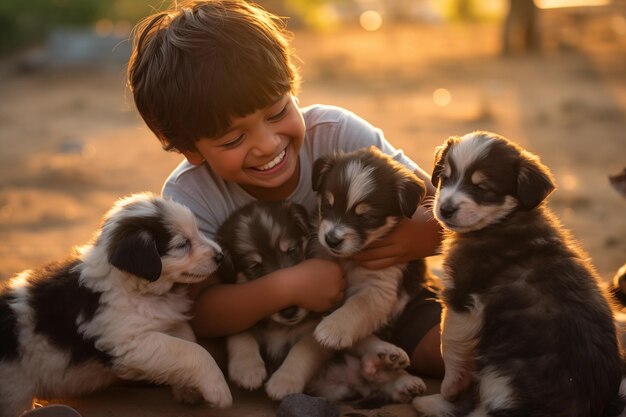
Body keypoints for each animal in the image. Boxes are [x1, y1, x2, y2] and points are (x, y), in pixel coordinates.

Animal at [0, 193, 232, 416]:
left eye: (198, 230)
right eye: (183, 244)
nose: (220, 256)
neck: (137, 288)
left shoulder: (167, 321)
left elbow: (187, 339)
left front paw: (188, 390)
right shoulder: (129, 341)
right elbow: (191, 351)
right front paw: (217, 388)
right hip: (15, 393)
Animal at [214, 201, 424, 404]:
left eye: (293, 251)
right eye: (254, 267)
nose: (289, 312)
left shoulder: (313, 330)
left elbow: (302, 351)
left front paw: (284, 382)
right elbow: (240, 333)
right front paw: (247, 369)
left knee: (368, 346)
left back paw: (398, 368)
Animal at [412, 131, 620, 416]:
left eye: (482, 188)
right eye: (446, 178)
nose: (445, 209)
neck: (505, 219)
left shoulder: (462, 295)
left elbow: (450, 340)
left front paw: (450, 387)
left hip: (502, 378)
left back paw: (433, 402)